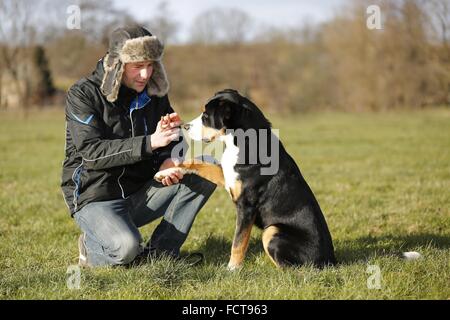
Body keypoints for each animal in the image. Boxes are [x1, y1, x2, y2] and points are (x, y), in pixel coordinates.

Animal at [155, 89, 334, 270]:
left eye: (206, 116)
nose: (184, 126)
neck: (241, 142)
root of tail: (330, 261)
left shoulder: (246, 206)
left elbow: (238, 242)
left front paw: (232, 269)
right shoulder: (227, 175)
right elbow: (198, 163)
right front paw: (167, 171)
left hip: (272, 230)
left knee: (290, 268)